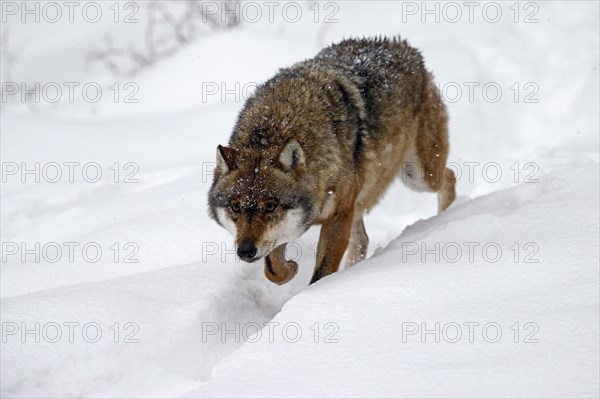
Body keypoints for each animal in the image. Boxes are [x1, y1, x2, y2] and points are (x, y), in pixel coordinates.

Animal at [206, 37, 454, 286]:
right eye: (235, 207)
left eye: (270, 206)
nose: (245, 252)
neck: (278, 124)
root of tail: (403, 45)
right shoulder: (289, 229)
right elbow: (273, 270)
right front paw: (291, 269)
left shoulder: (338, 217)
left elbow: (321, 273)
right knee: (362, 239)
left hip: (419, 177)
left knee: (450, 176)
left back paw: (447, 217)